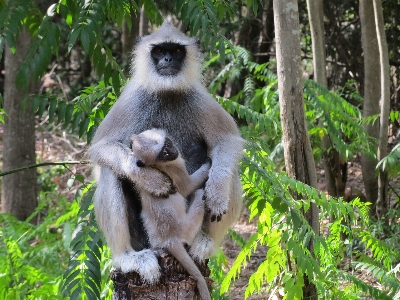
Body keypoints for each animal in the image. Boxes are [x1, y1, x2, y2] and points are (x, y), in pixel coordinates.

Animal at [131, 128, 212, 300]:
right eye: (164, 154)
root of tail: (169, 239)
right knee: (199, 193)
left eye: (167, 144)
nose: (172, 151)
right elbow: (187, 188)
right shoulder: (176, 167)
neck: (158, 166)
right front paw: (208, 163)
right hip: (187, 228)